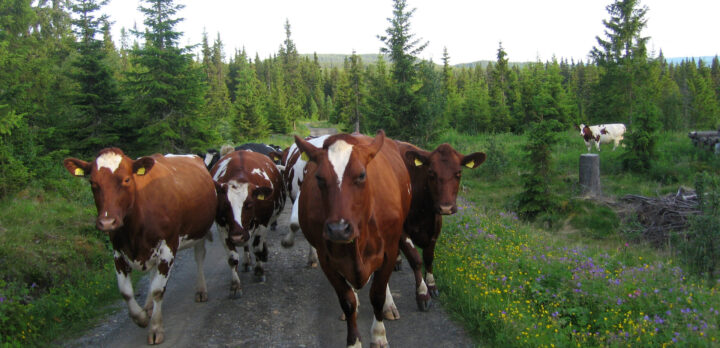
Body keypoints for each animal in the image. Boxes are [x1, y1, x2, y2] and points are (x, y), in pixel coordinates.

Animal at [63, 148, 217, 344]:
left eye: (127, 179)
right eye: (92, 182)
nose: (107, 222)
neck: (134, 228)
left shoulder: (168, 247)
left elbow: (158, 290)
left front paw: (155, 328)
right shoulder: (118, 252)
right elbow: (126, 292)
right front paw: (141, 317)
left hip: (199, 232)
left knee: (199, 257)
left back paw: (201, 290)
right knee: (152, 276)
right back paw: (148, 306)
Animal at [210, 150, 286, 294]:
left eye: (249, 204)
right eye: (225, 205)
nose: (237, 236)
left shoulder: (263, 222)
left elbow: (257, 248)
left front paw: (260, 271)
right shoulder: (221, 227)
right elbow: (232, 257)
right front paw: (235, 285)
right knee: (245, 245)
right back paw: (246, 262)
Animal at [296, 130, 410, 348]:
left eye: (362, 175)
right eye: (319, 177)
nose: (338, 229)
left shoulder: (390, 250)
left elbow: (377, 294)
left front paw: (379, 335)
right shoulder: (326, 259)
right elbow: (347, 301)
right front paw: (354, 341)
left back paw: (389, 306)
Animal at [396, 141, 486, 310]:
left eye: (459, 173)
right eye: (431, 172)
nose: (446, 208)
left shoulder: (435, 228)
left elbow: (429, 257)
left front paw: (432, 285)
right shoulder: (401, 230)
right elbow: (415, 259)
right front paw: (423, 294)